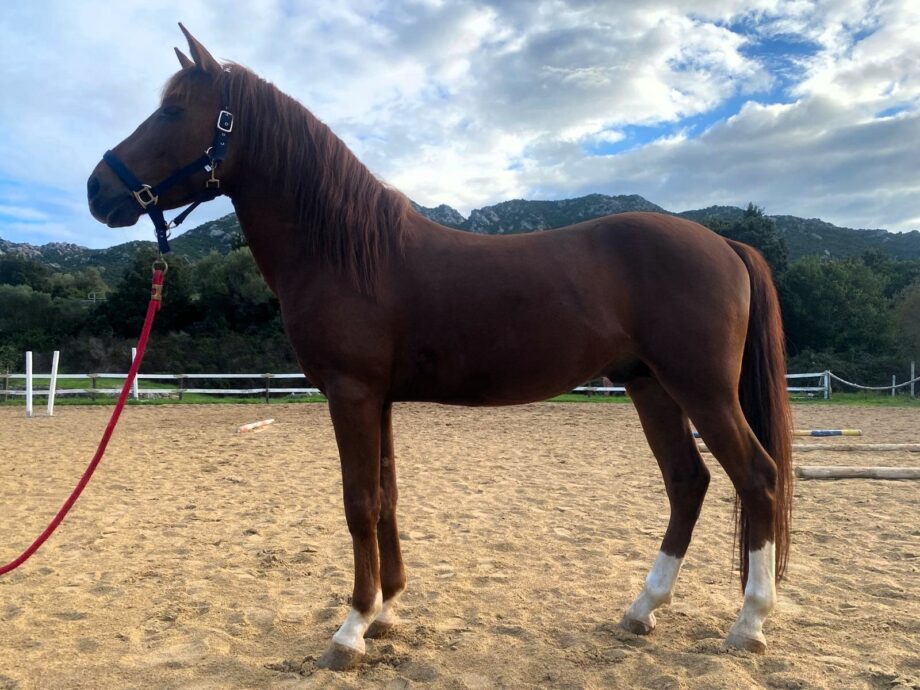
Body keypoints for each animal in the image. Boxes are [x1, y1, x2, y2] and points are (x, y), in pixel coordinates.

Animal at [87, 25, 793, 670]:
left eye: (174, 111)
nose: (97, 189)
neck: (346, 250)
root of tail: (725, 244)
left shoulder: (351, 393)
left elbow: (359, 502)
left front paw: (351, 629)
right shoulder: (379, 399)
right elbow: (387, 497)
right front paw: (386, 611)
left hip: (700, 387)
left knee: (757, 477)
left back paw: (748, 625)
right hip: (651, 386)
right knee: (688, 482)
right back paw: (641, 610)